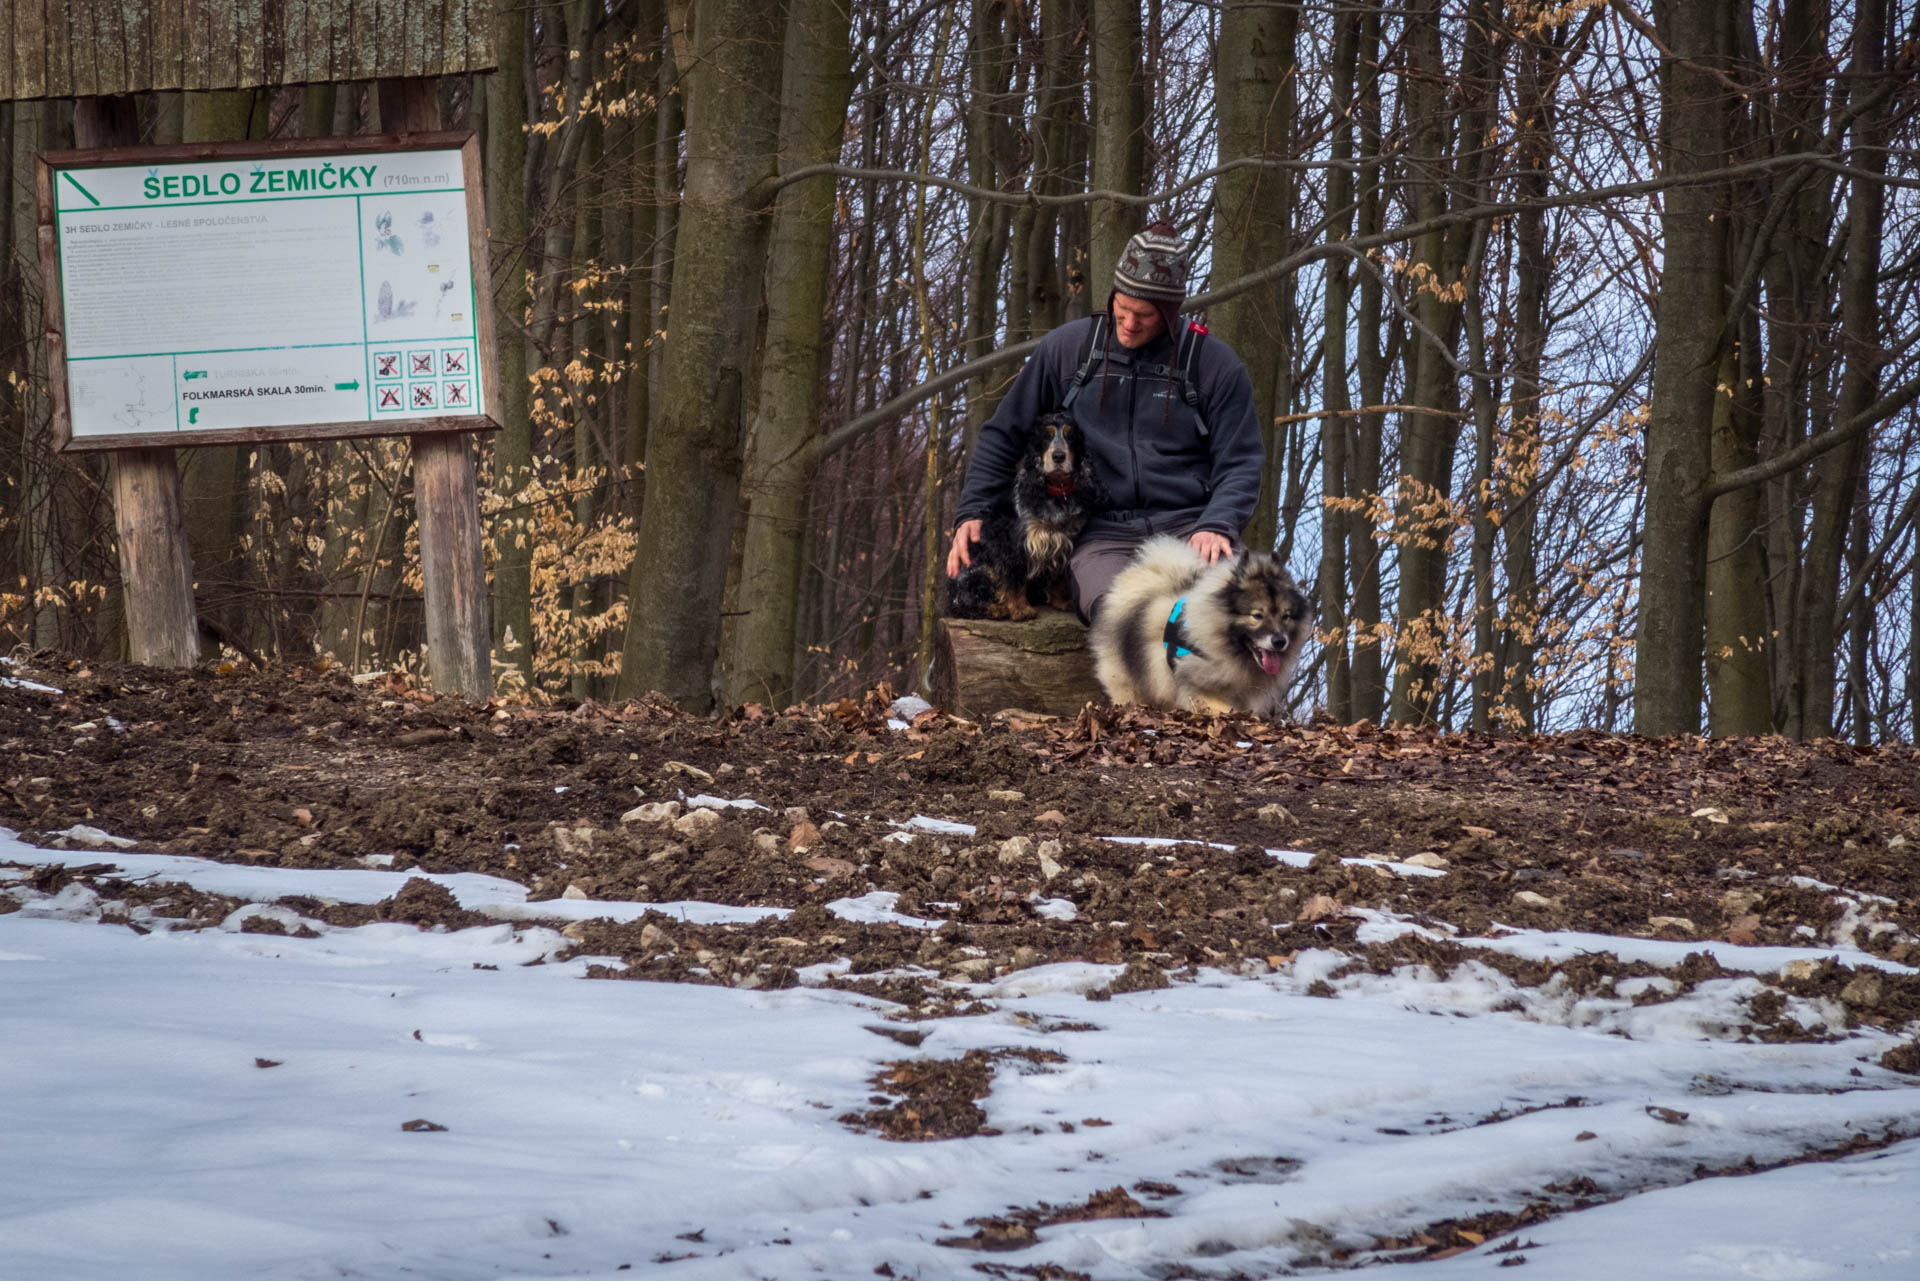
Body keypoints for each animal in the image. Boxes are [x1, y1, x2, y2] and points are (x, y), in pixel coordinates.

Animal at [948, 412, 1113, 622]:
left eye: (1071, 436)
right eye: (1046, 437)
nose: (1058, 456)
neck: (1056, 491)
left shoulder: (1062, 541)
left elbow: (1059, 577)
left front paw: (1062, 602)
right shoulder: (1014, 546)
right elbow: (1015, 581)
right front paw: (1020, 610)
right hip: (980, 571)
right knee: (964, 603)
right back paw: (995, 609)